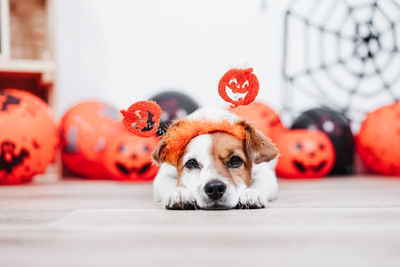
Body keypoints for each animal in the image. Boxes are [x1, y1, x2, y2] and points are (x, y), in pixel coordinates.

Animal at [152, 108, 280, 210]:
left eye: (235, 160)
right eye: (191, 163)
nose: (215, 188)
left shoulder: (264, 174)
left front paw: (251, 193)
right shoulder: (164, 176)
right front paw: (180, 193)